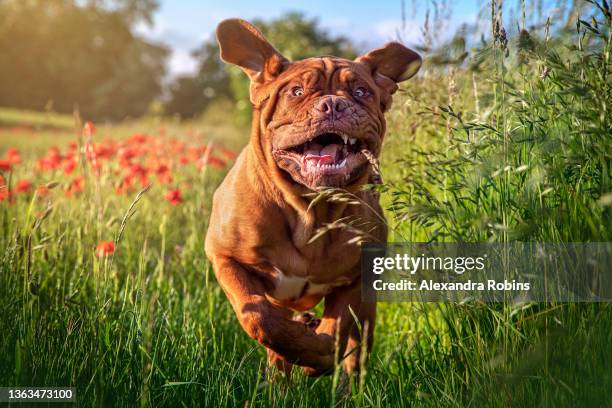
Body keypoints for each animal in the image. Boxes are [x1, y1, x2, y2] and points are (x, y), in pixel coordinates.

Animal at [206, 19, 420, 376]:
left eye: (361, 92)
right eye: (296, 92)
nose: (333, 104)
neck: (308, 209)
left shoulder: (355, 279)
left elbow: (335, 331)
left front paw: (316, 353)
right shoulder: (226, 258)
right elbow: (259, 317)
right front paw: (303, 345)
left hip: (368, 309)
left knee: (355, 352)